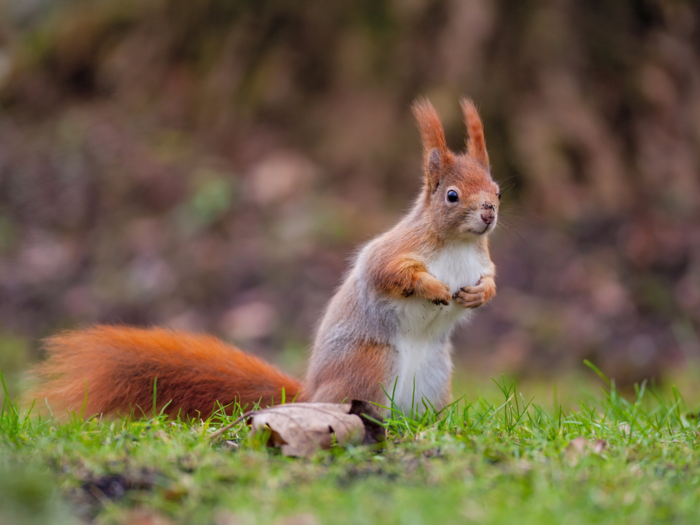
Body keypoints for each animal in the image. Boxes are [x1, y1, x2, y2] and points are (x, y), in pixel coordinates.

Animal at [27, 97, 498, 418]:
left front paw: (479, 296)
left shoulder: (482, 261)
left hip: (436, 373)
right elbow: (390, 273)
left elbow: (491, 279)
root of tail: (310, 394)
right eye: (452, 195)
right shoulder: (395, 250)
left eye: (496, 189)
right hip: (371, 364)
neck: (455, 245)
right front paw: (432, 287)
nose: (489, 211)